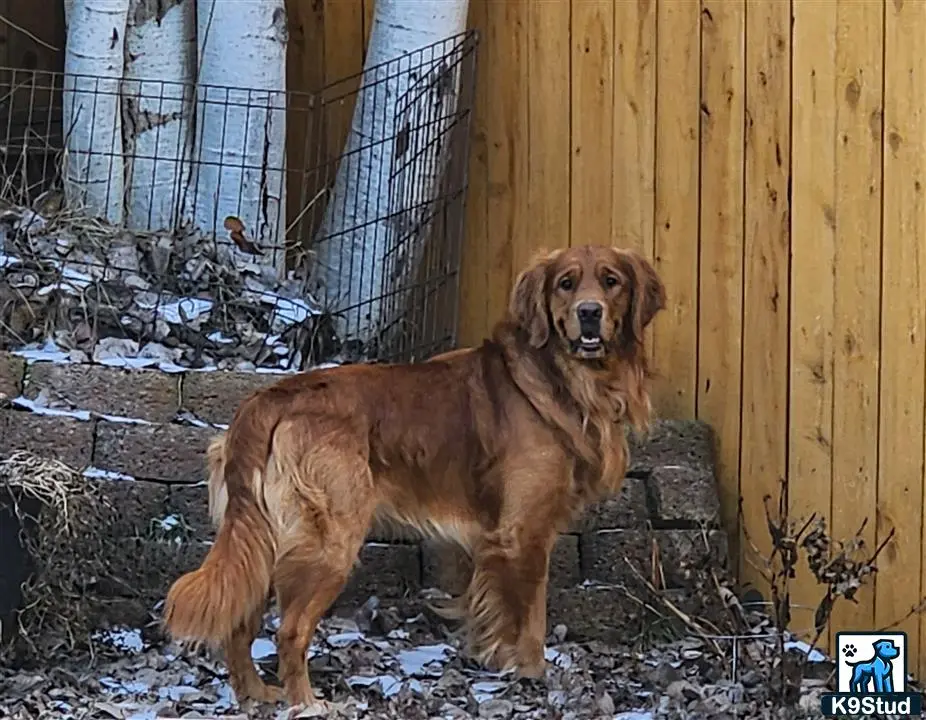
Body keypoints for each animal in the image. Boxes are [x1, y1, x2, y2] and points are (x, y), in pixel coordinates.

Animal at [161, 245, 668, 712]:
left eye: (611, 281)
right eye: (566, 283)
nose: (589, 313)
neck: (563, 379)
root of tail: (270, 398)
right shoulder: (523, 533)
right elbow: (531, 619)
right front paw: (532, 676)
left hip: (262, 538)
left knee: (239, 624)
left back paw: (256, 695)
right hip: (330, 541)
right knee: (290, 630)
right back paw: (306, 702)